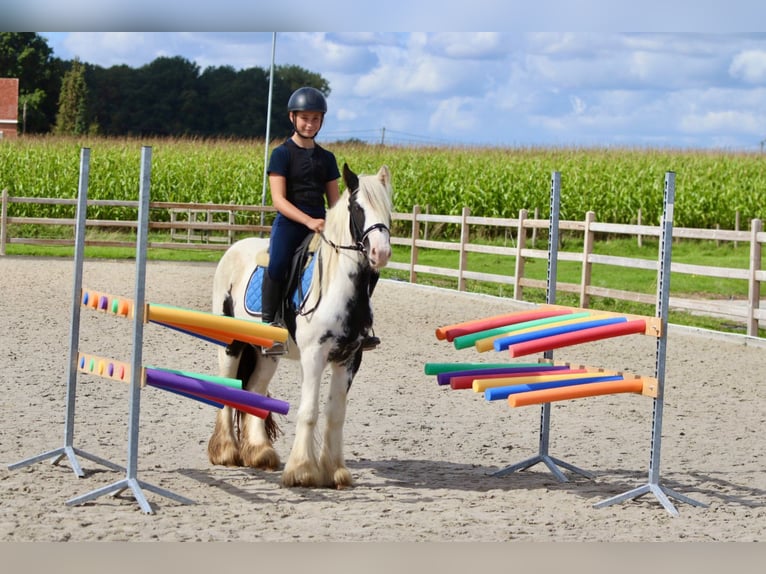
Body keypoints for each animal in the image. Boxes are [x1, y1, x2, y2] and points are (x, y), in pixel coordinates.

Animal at [207, 164, 392, 488]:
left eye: (388, 208)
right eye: (357, 208)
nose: (380, 252)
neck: (338, 287)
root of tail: (234, 248)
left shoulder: (350, 357)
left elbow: (335, 413)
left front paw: (335, 471)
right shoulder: (314, 355)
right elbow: (309, 411)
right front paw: (303, 471)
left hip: (267, 353)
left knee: (255, 389)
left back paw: (259, 453)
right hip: (232, 345)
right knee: (227, 389)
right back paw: (227, 452)